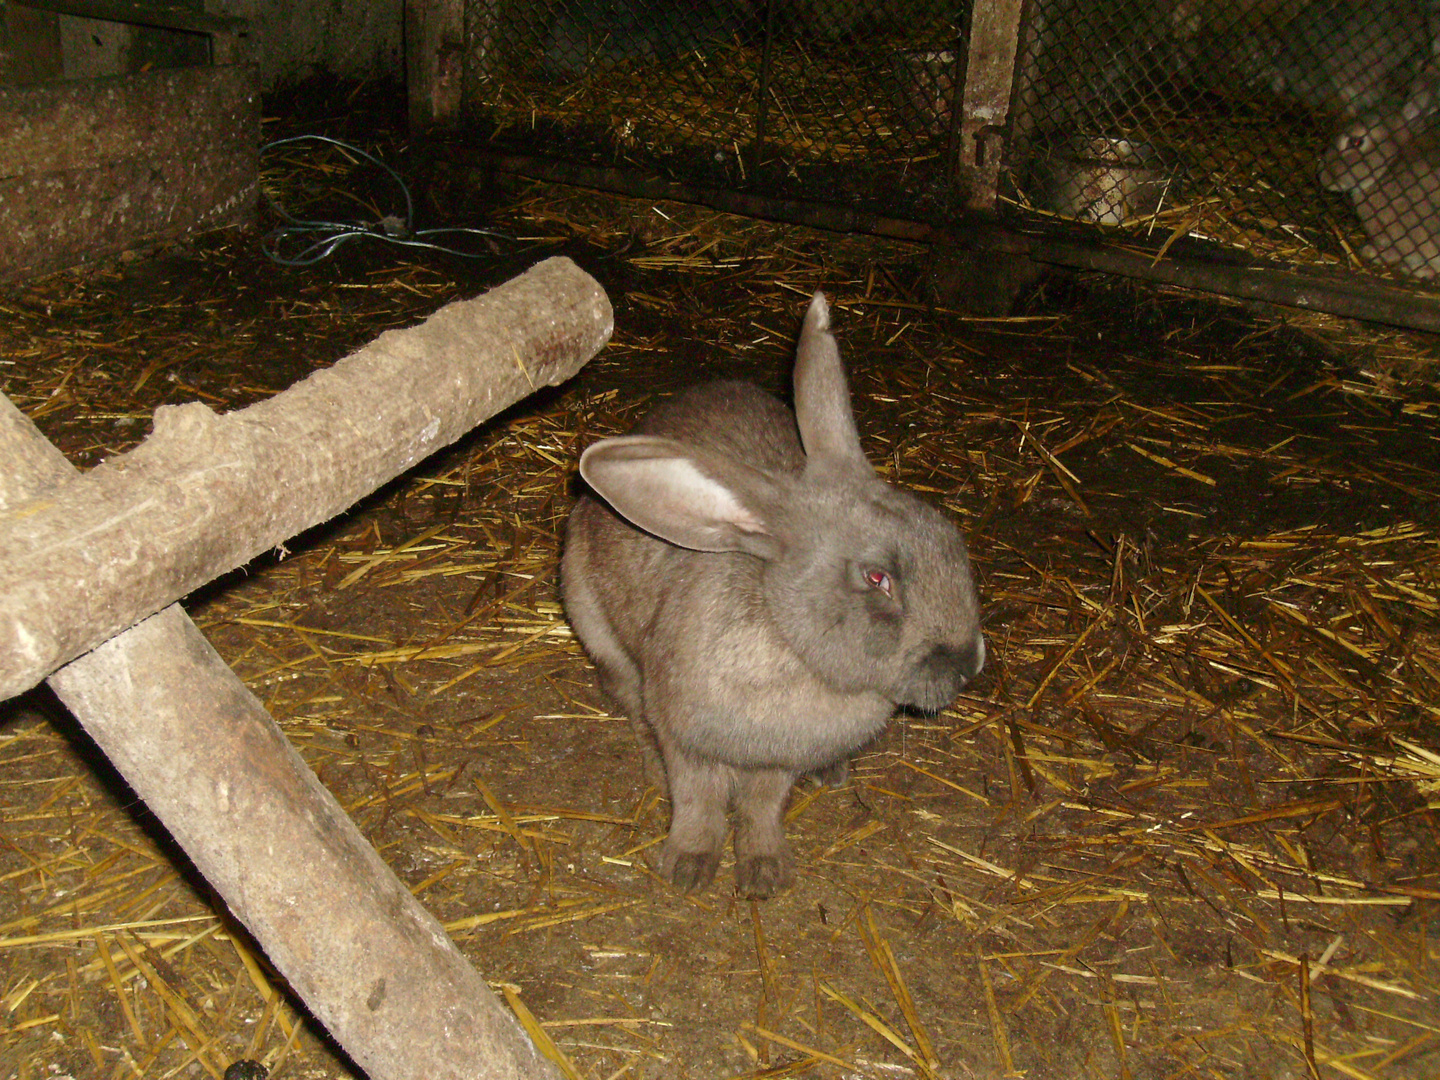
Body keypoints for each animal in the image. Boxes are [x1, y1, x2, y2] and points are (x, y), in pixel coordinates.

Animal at [567, 293, 984, 898]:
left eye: (950, 535)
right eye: (877, 578)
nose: (971, 664)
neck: (793, 644)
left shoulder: (779, 760)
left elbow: (762, 807)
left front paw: (764, 872)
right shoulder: (687, 737)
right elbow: (697, 801)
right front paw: (688, 867)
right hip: (601, 634)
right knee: (627, 699)